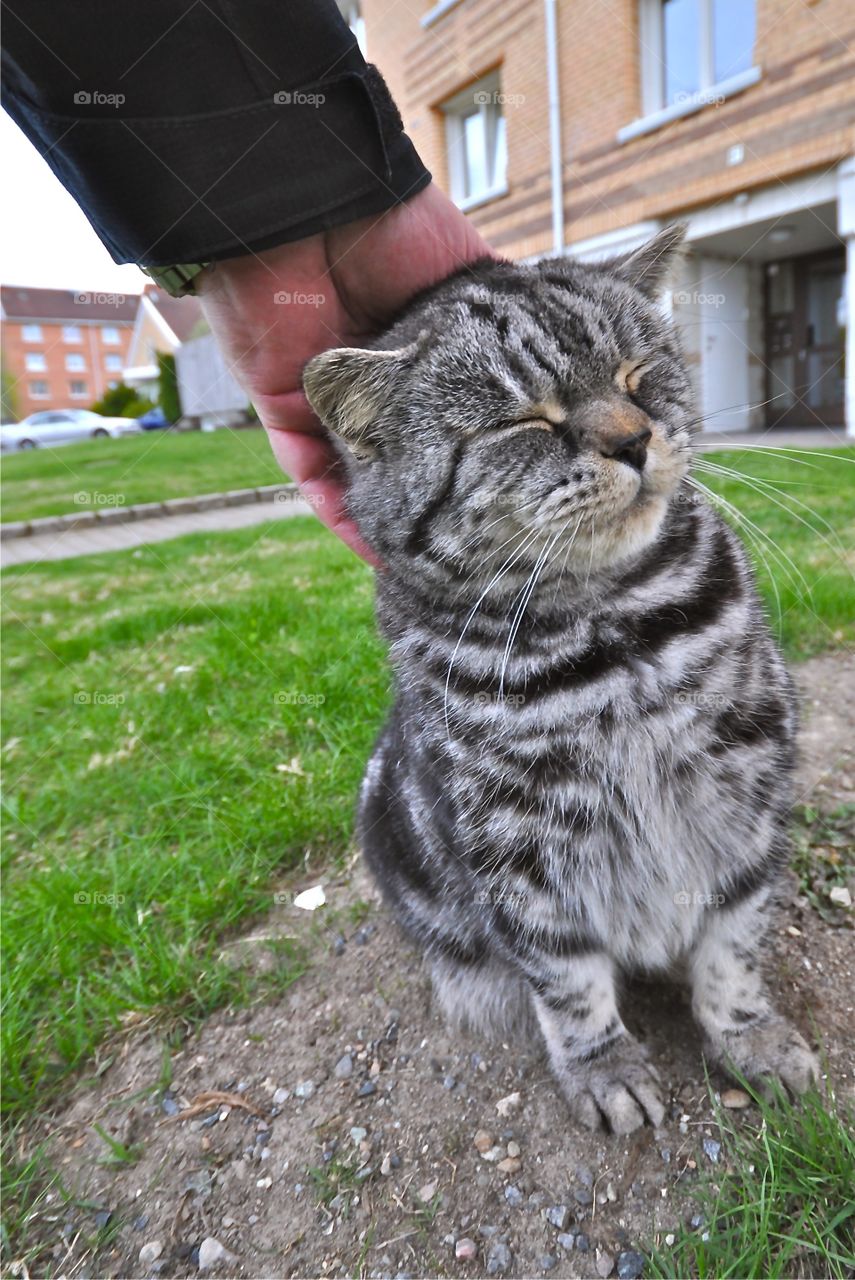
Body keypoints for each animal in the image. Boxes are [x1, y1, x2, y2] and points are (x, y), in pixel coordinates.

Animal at [303, 225, 819, 1136]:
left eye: (636, 375)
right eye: (523, 421)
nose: (632, 439)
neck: (611, 642)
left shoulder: (748, 795)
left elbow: (734, 943)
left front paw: (749, 1035)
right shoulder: (514, 848)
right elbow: (567, 980)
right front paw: (602, 1065)